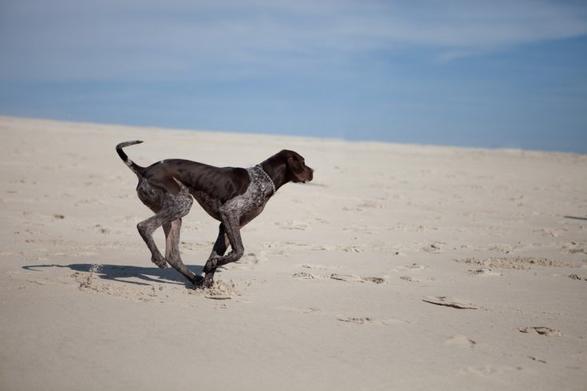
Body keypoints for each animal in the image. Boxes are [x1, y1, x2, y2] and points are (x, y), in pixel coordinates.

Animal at [116, 141, 314, 288]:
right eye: (303, 162)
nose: (313, 172)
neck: (264, 178)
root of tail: (145, 170)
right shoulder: (229, 213)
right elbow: (239, 251)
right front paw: (210, 271)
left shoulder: (228, 224)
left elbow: (217, 254)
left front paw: (208, 278)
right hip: (182, 204)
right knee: (144, 226)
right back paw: (158, 259)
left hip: (175, 214)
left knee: (173, 255)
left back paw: (194, 278)